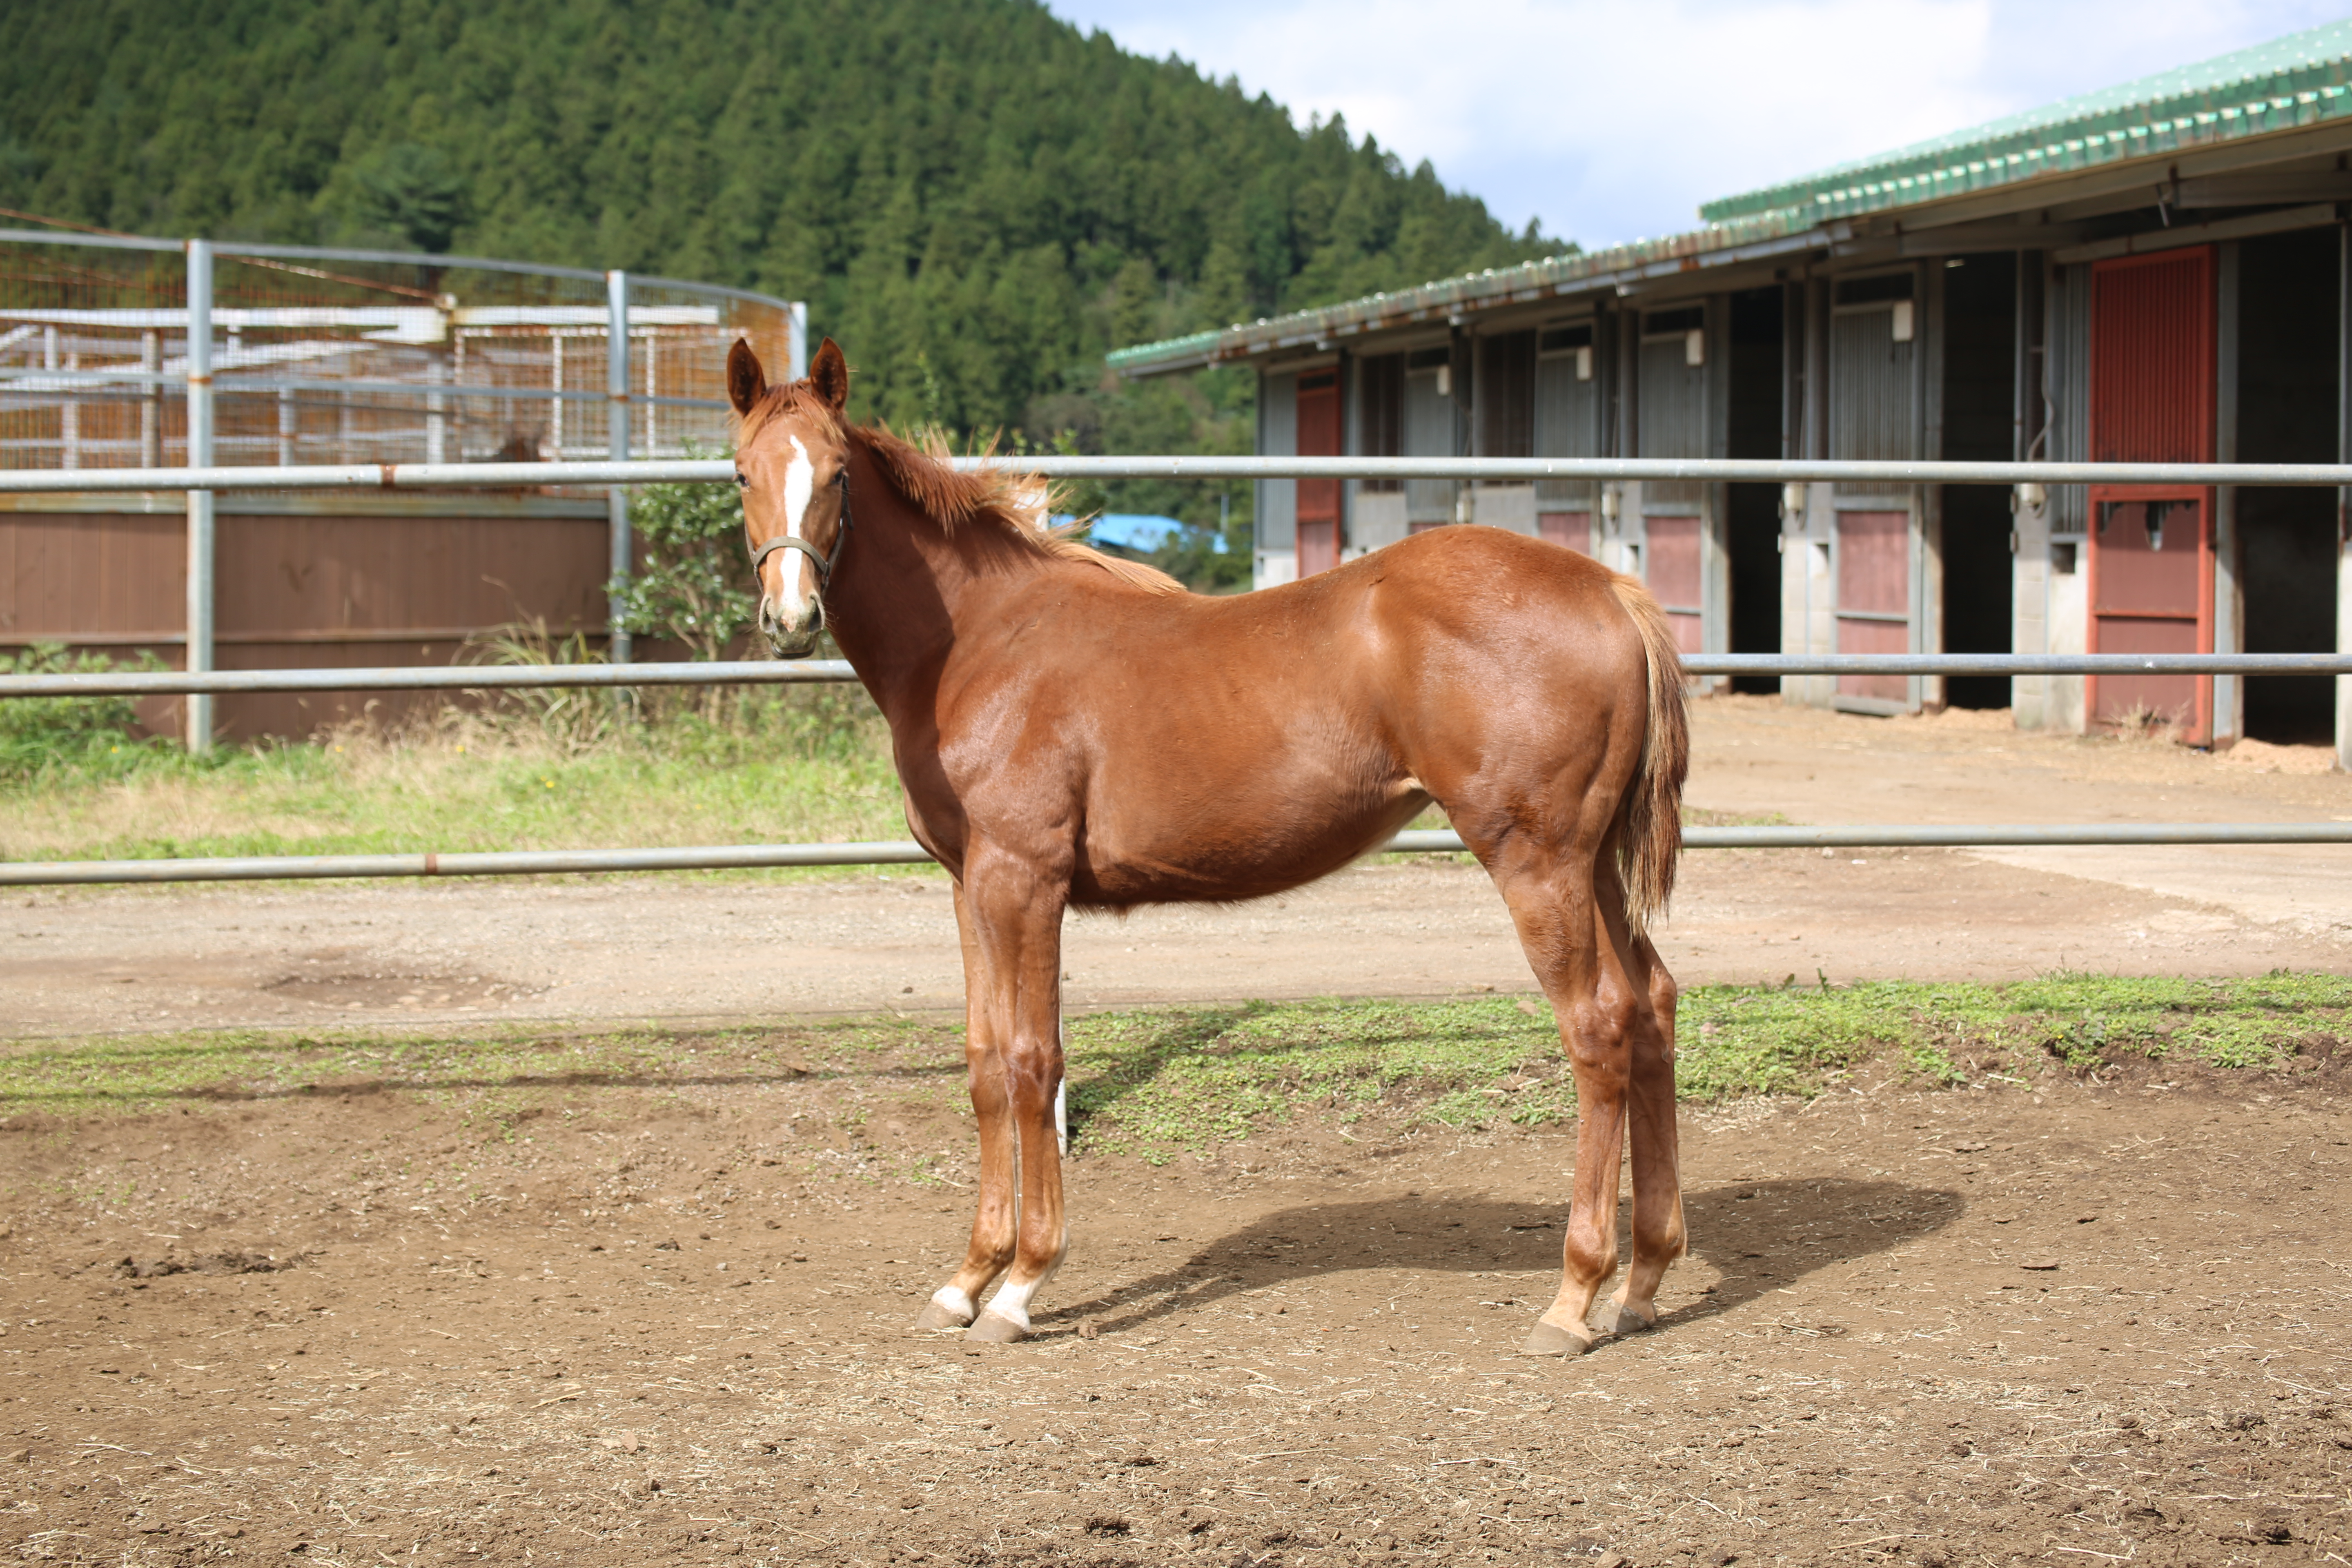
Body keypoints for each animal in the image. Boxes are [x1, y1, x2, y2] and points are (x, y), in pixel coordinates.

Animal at [724, 339, 1684, 1354]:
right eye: (742, 472)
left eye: (836, 473)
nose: (791, 621)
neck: (982, 644)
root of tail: (1610, 589)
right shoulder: (968, 884)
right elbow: (986, 1065)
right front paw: (965, 1281)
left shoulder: (1024, 881)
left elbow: (1033, 1063)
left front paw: (1022, 1286)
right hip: (1596, 867)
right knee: (1652, 1006)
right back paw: (1645, 1279)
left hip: (1538, 862)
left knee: (1597, 1028)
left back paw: (1574, 1298)